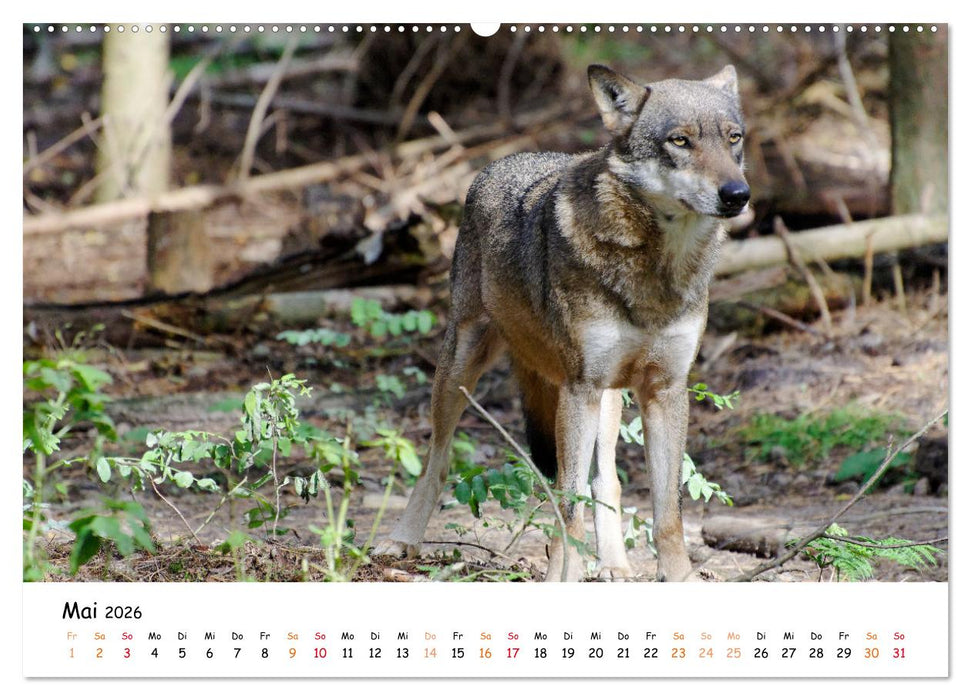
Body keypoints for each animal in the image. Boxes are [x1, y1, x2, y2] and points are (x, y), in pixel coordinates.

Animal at [374, 64, 749, 581]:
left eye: (734, 138)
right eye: (680, 141)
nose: (737, 195)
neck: (656, 271)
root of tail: (505, 160)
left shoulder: (665, 390)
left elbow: (668, 515)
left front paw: (678, 579)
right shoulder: (579, 388)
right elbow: (568, 508)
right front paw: (562, 575)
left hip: (607, 398)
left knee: (605, 482)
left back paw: (614, 565)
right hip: (462, 371)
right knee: (438, 459)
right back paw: (403, 539)